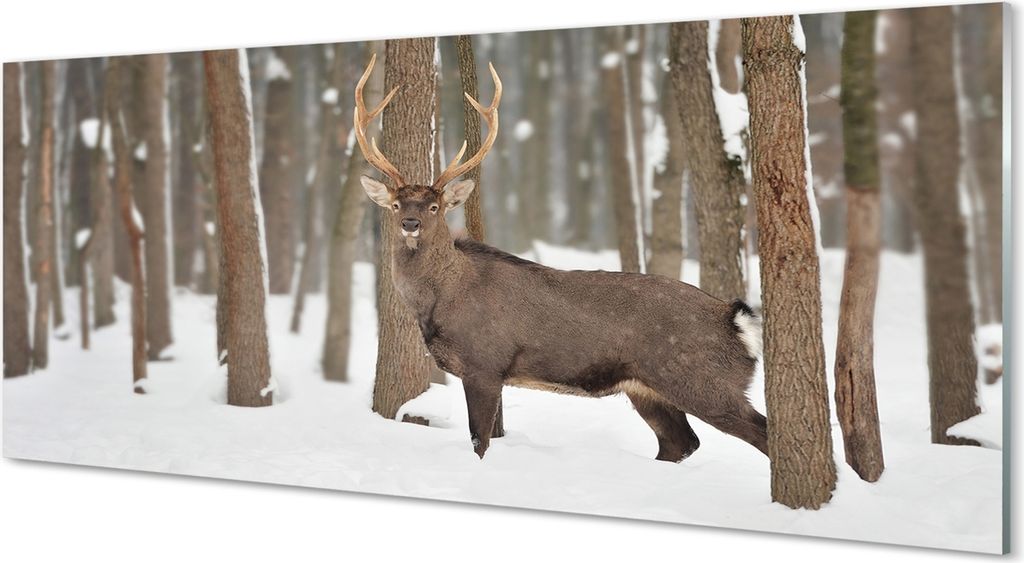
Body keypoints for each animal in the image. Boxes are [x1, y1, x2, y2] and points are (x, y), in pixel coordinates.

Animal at [354, 54, 768, 462]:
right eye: (395, 204)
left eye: (434, 207)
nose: (409, 223)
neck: (440, 300)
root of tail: (735, 319)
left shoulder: (484, 363)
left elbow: (479, 441)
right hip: (646, 388)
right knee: (681, 443)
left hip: (701, 380)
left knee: (758, 432)